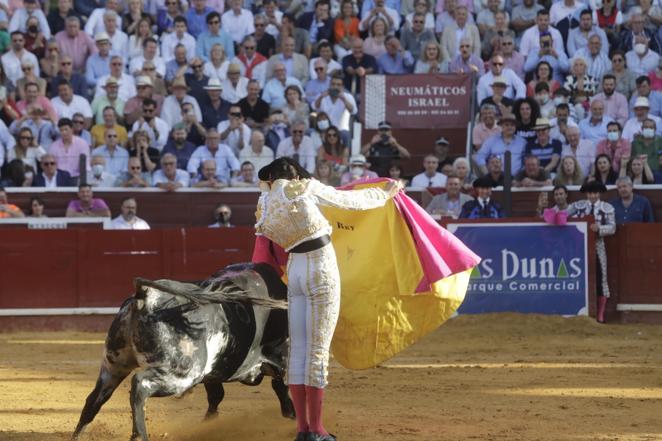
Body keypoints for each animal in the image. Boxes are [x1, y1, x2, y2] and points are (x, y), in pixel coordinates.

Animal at [72, 262, 296, 438]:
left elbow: (216, 396)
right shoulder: (283, 358)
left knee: (94, 399)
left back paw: (78, 435)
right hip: (183, 373)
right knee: (140, 383)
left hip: (114, 365)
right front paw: (292, 417)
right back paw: (139, 435)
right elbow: (284, 388)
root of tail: (146, 295)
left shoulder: (214, 371)